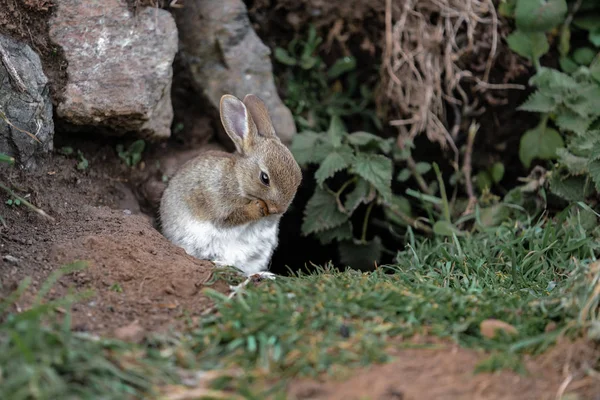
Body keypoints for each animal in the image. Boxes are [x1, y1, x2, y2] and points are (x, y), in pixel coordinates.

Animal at [159, 93, 302, 278]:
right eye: (265, 178)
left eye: (299, 177)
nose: (278, 209)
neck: (239, 182)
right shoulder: (219, 205)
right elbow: (230, 217)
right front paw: (257, 208)